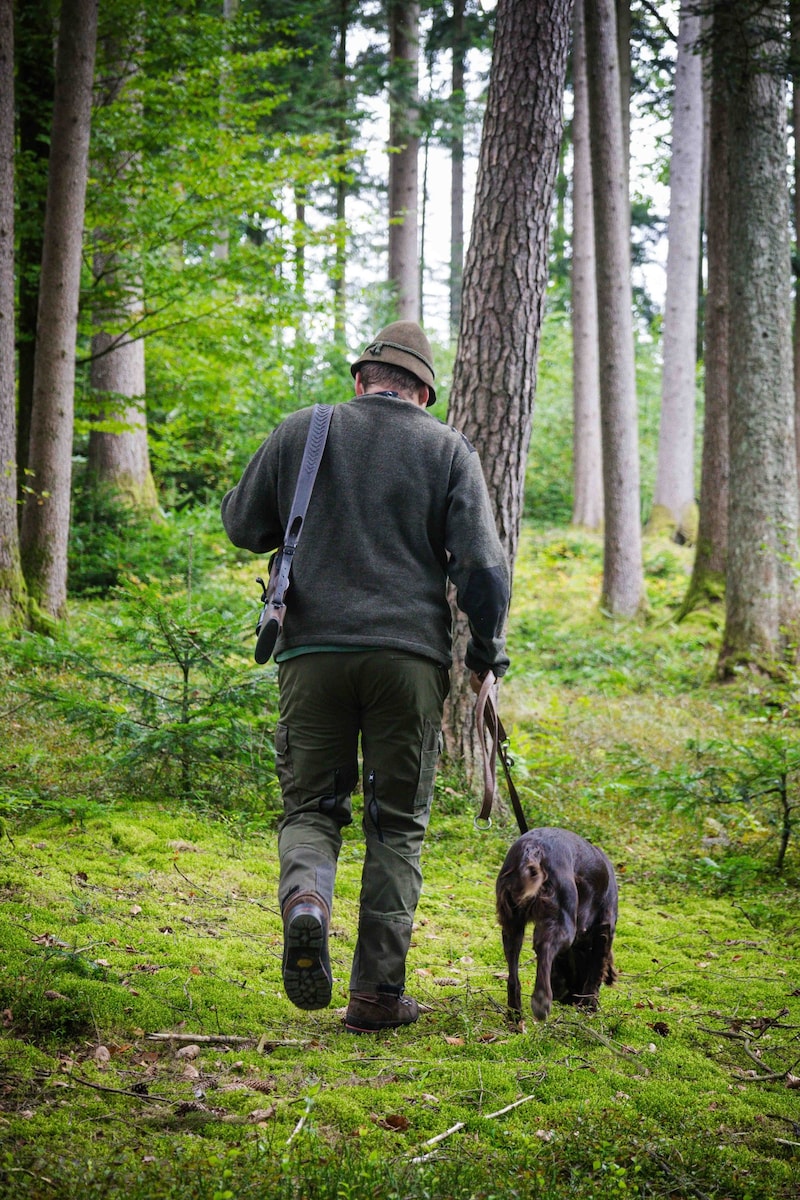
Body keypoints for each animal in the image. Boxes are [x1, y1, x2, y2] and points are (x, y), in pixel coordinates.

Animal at [494, 825, 618, 1022]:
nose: (567, 1000)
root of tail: (534, 848)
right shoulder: (605, 928)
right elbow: (596, 972)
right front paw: (589, 1006)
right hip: (563, 919)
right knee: (545, 948)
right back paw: (541, 1001)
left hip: (512, 925)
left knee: (514, 976)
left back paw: (515, 1014)